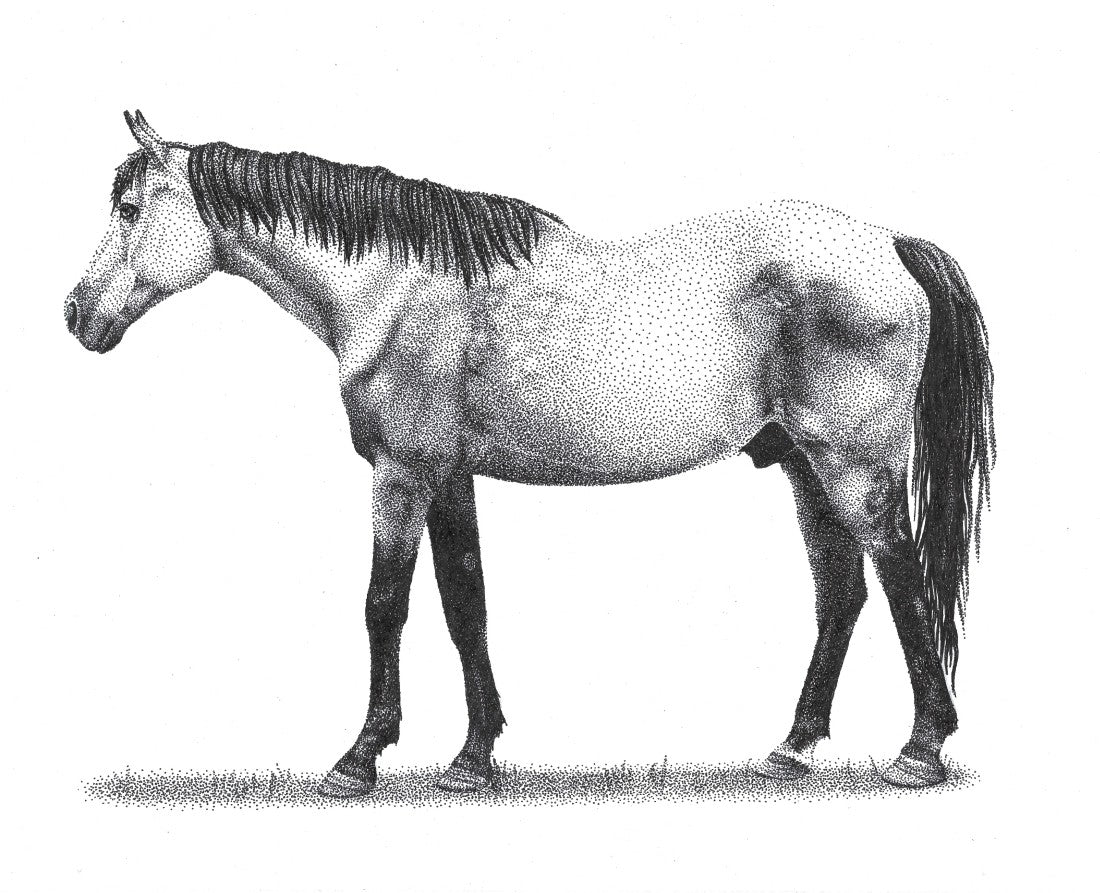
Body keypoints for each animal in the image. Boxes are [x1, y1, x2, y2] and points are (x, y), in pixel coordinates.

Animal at [64, 111, 994, 796]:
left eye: (128, 209)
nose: (76, 312)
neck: (394, 287)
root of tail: (886, 242)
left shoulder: (402, 474)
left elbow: (384, 605)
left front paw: (357, 759)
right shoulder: (448, 477)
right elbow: (465, 603)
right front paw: (472, 759)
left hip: (856, 465)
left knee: (901, 579)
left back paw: (919, 751)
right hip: (802, 463)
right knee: (841, 592)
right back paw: (792, 748)